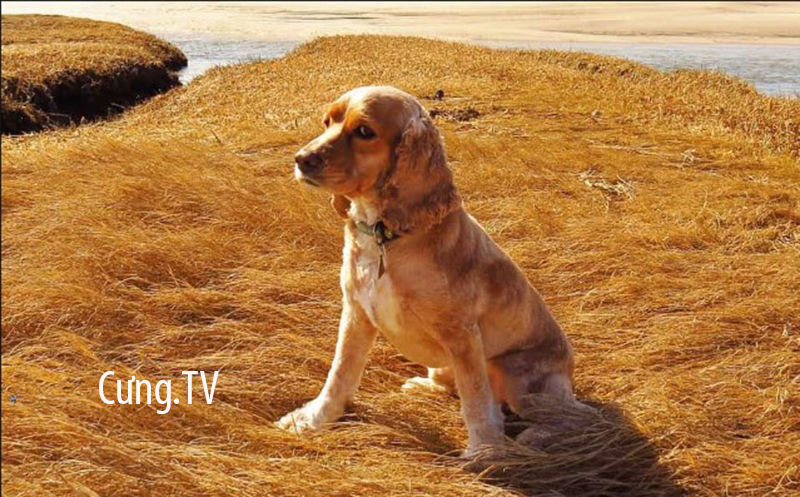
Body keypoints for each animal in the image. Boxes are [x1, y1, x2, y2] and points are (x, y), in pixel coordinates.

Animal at [278, 86, 584, 458]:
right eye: (327, 121)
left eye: (364, 131)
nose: (301, 158)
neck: (384, 235)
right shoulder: (356, 314)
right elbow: (339, 374)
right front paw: (314, 419)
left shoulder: (463, 335)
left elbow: (476, 400)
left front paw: (485, 451)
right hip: (445, 365)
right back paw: (424, 386)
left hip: (517, 374)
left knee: (569, 417)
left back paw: (534, 436)